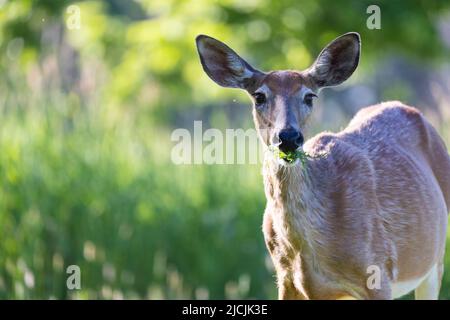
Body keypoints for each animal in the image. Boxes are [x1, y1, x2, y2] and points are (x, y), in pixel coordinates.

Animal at [196, 32, 450, 300]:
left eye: (309, 96)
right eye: (259, 96)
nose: (288, 137)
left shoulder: (378, 272)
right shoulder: (286, 279)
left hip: (434, 259)